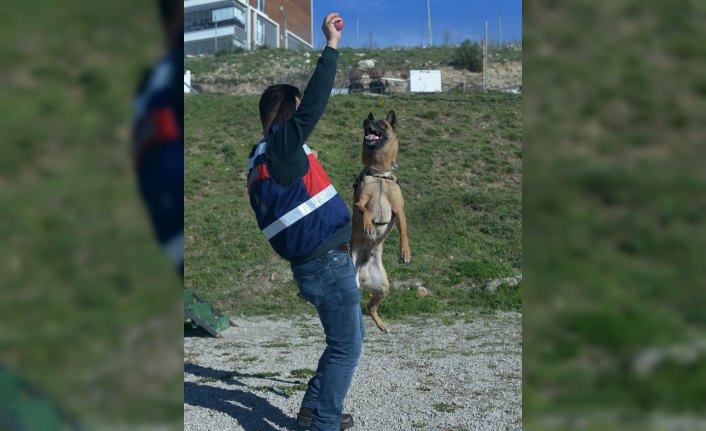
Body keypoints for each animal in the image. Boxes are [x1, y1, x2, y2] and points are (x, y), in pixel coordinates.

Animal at [350, 109, 410, 332]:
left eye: (381, 124)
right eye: (368, 121)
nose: (367, 122)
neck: (379, 175)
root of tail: (363, 272)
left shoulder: (399, 210)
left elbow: (404, 233)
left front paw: (405, 253)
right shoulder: (359, 201)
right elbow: (365, 211)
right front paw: (368, 225)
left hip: (384, 287)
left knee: (370, 306)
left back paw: (382, 325)